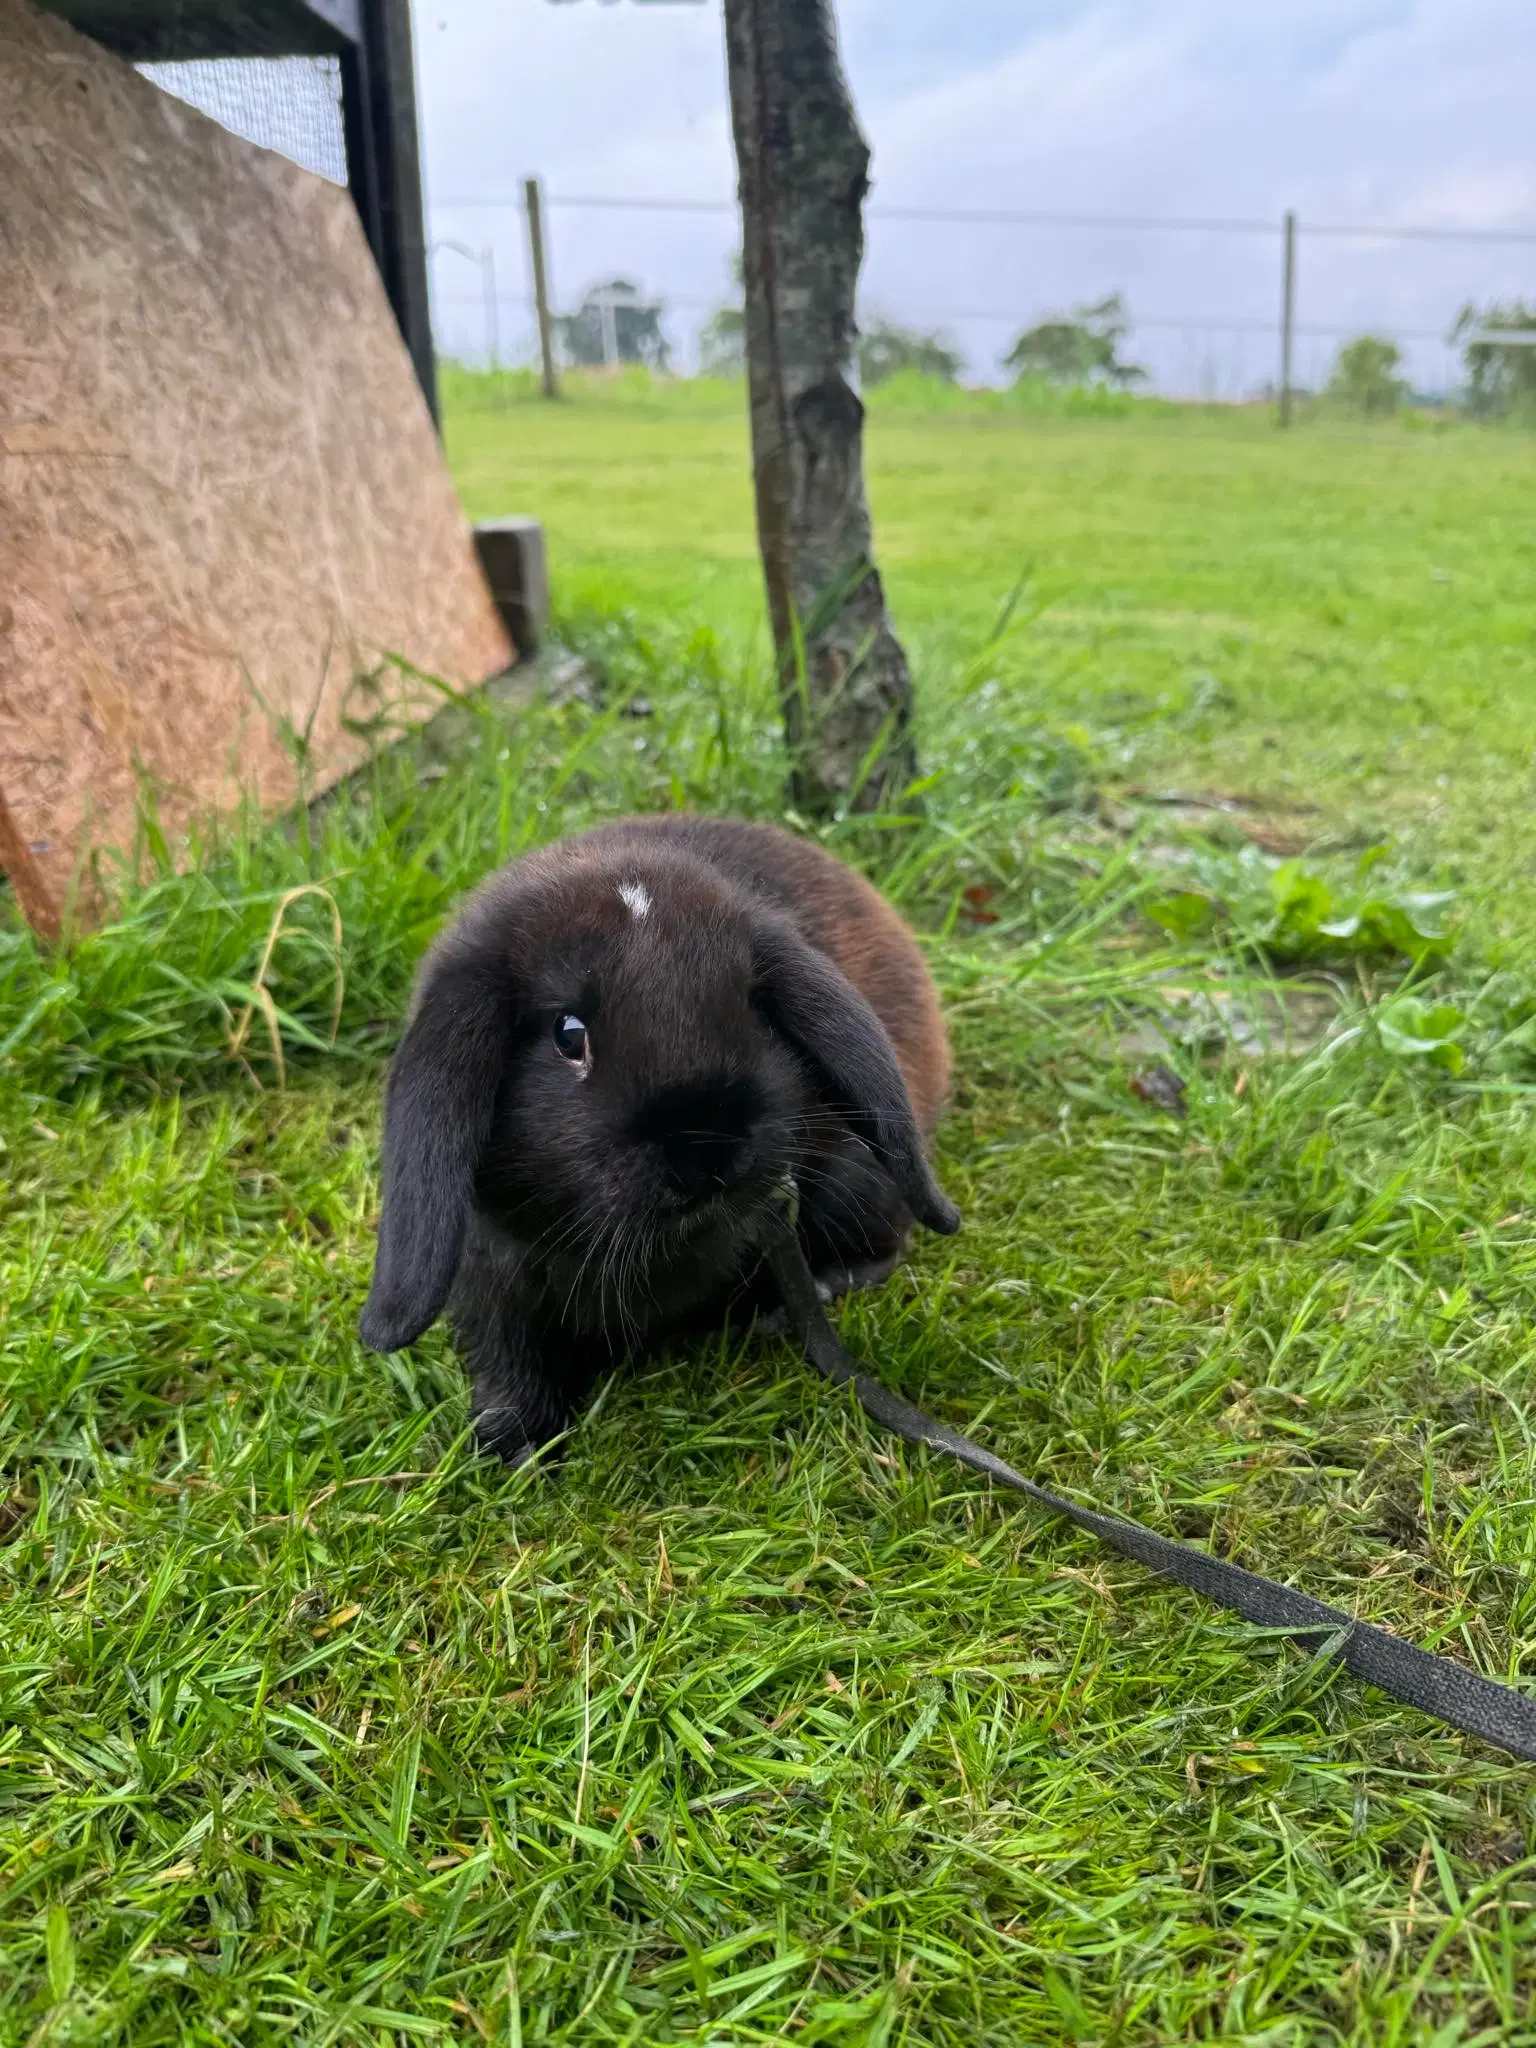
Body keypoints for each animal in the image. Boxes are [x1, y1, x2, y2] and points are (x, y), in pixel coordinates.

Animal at [364, 811, 962, 1458]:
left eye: (754, 1010)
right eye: (568, 1033)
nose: (705, 1153)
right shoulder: (491, 1276)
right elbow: (510, 1361)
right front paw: (514, 1445)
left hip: (854, 1174)